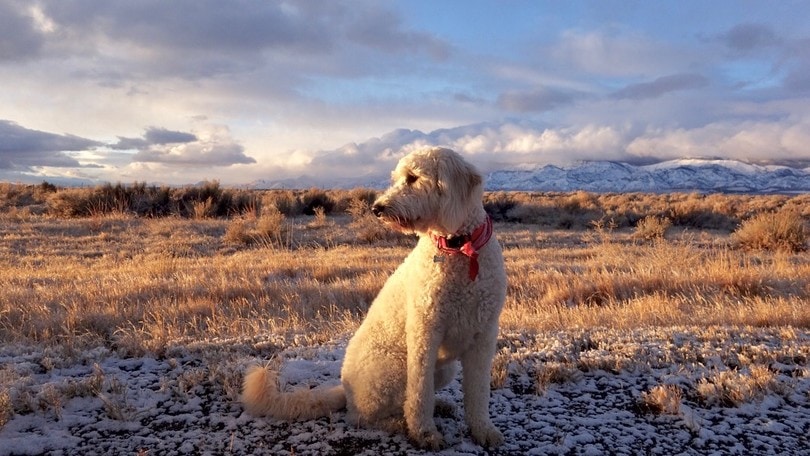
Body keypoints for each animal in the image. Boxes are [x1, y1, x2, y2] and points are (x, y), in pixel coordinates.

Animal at [241, 147, 504, 448]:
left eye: (413, 178)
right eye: (398, 178)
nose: (377, 208)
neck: (458, 249)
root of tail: (345, 390)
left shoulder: (484, 335)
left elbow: (478, 393)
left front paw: (483, 430)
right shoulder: (424, 332)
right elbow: (419, 394)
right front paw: (424, 433)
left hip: (442, 368)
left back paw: (439, 406)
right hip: (394, 367)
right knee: (365, 415)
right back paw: (400, 424)